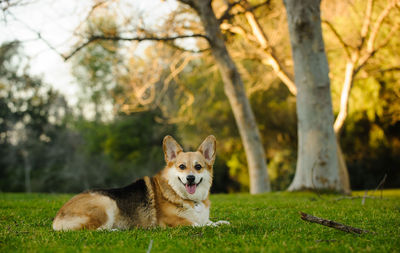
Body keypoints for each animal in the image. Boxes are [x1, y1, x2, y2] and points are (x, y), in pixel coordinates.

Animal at [51, 135, 230, 230]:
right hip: (107, 203)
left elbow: (209, 221)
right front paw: (214, 226)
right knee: (93, 230)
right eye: (182, 167)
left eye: (198, 167)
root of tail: (58, 217)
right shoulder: (175, 222)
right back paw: (115, 231)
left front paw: (222, 222)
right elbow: (199, 224)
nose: (190, 178)